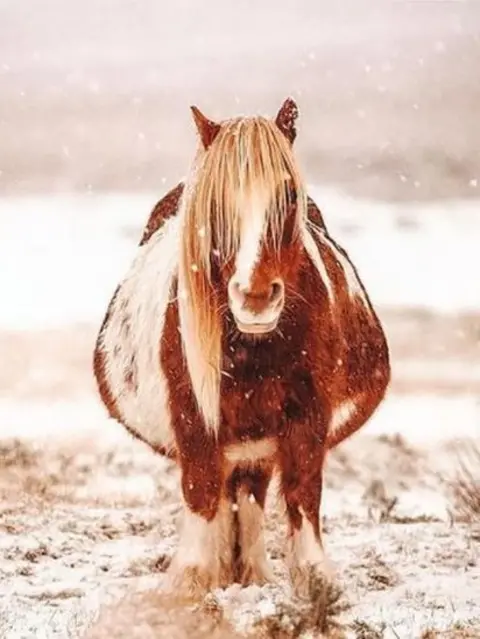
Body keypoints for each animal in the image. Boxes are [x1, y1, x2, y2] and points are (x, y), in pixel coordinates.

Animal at [93, 99, 390, 600]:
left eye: (288, 195)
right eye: (216, 205)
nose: (255, 298)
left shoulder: (307, 422)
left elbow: (302, 496)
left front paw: (315, 580)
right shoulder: (195, 420)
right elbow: (201, 496)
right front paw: (193, 581)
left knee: (249, 493)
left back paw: (251, 571)